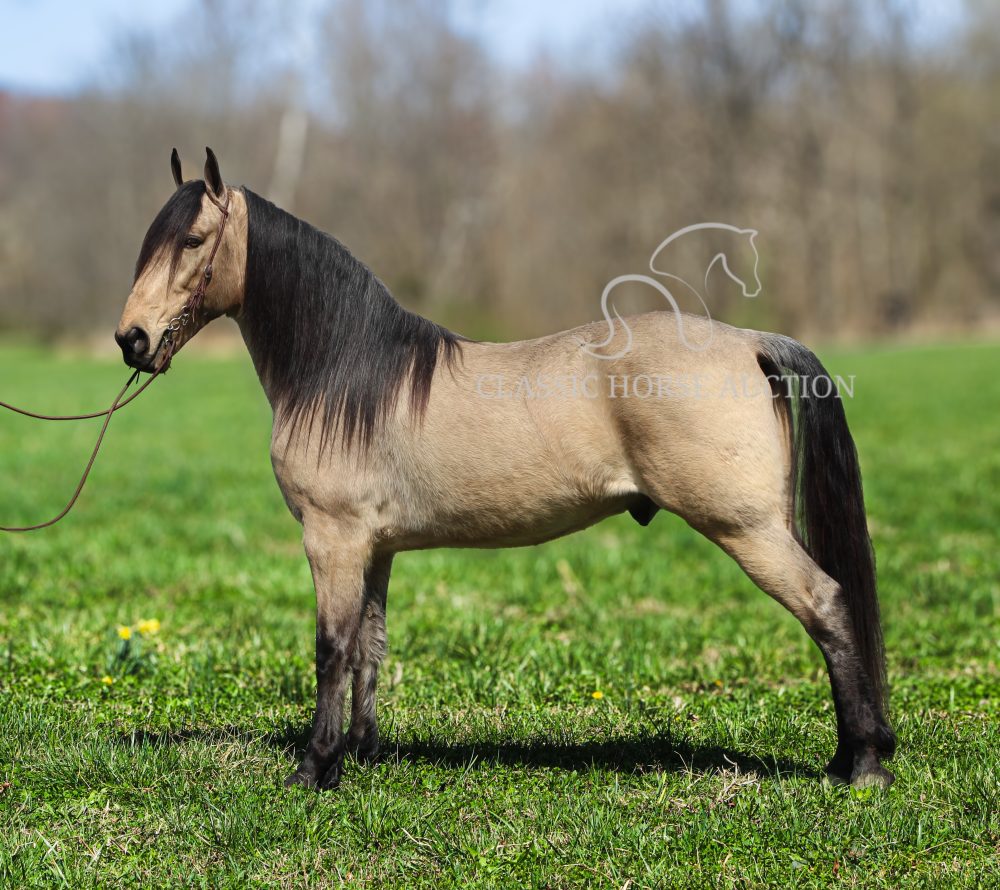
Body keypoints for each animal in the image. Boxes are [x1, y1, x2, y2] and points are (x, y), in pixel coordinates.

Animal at [115, 148, 896, 791]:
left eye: (191, 241)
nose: (132, 340)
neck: (345, 373)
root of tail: (749, 341)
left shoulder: (332, 540)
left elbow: (331, 649)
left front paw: (315, 769)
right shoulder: (374, 548)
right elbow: (371, 644)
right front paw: (362, 754)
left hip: (747, 529)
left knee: (828, 605)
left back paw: (861, 764)